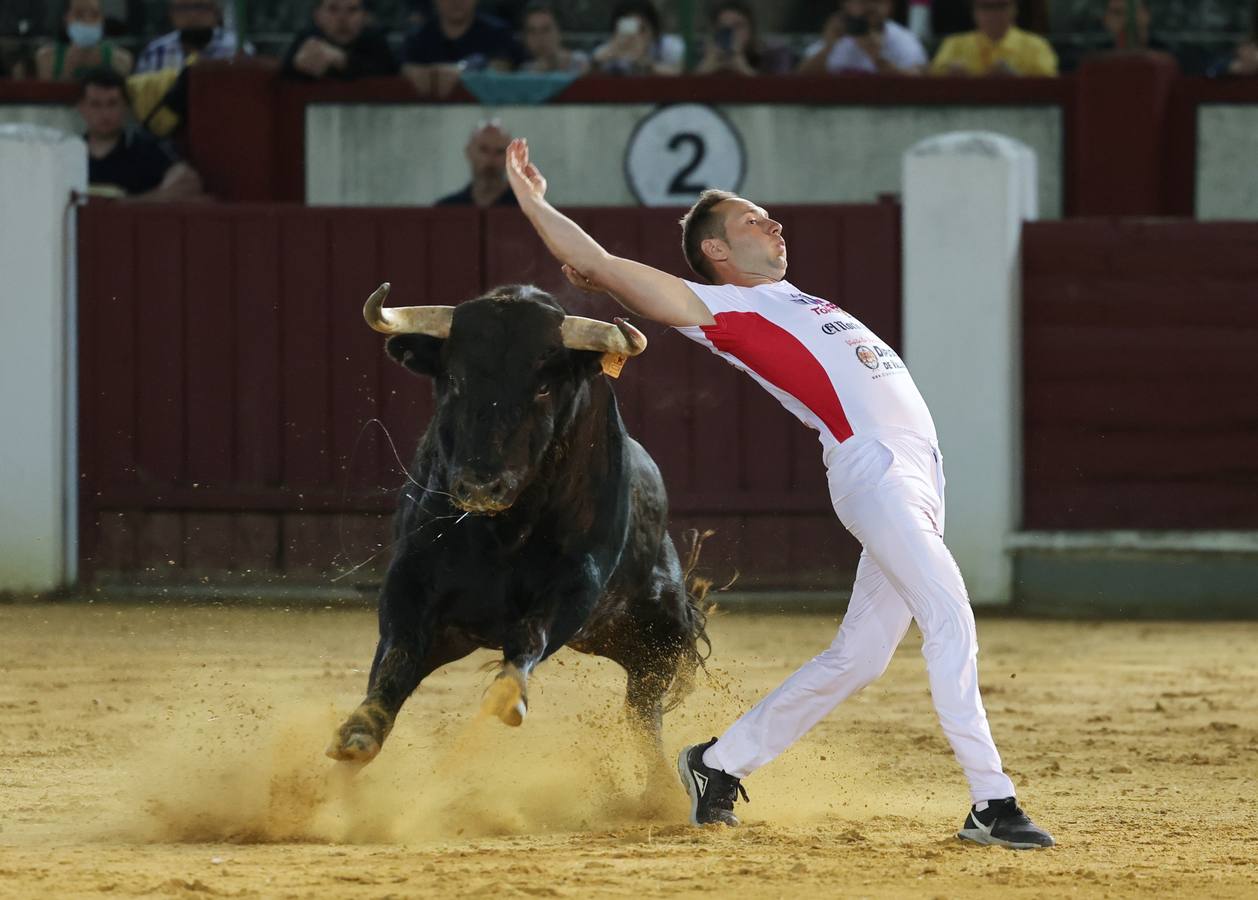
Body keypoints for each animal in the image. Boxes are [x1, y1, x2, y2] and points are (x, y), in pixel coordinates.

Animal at [324, 281, 714, 780]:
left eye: (544, 387)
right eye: (455, 379)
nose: (479, 486)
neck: (502, 532)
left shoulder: (576, 584)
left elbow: (530, 637)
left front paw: (508, 697)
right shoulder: (411, 578)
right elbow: (396, 655)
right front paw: (359, 732)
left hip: (658, 636)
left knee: (643, 714)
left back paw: (660, 788)